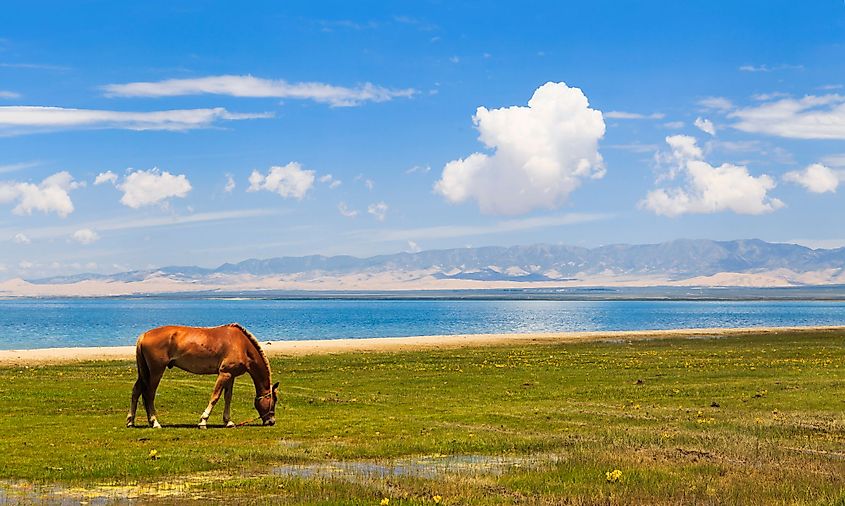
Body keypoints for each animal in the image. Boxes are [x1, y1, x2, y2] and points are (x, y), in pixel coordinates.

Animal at [127, 324, 276, 426]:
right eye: (274, 401)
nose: (271, 421)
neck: (242, 345)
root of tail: (144, 335)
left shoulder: (230, 375)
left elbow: (228, 398)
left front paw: (228, 421)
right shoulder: (224, 374)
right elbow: (215, 397)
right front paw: (203, 421)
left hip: (145, 372)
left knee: (137, 391)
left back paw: (131, 421)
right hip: (156, 371)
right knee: (149, 394)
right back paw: (155, 422)